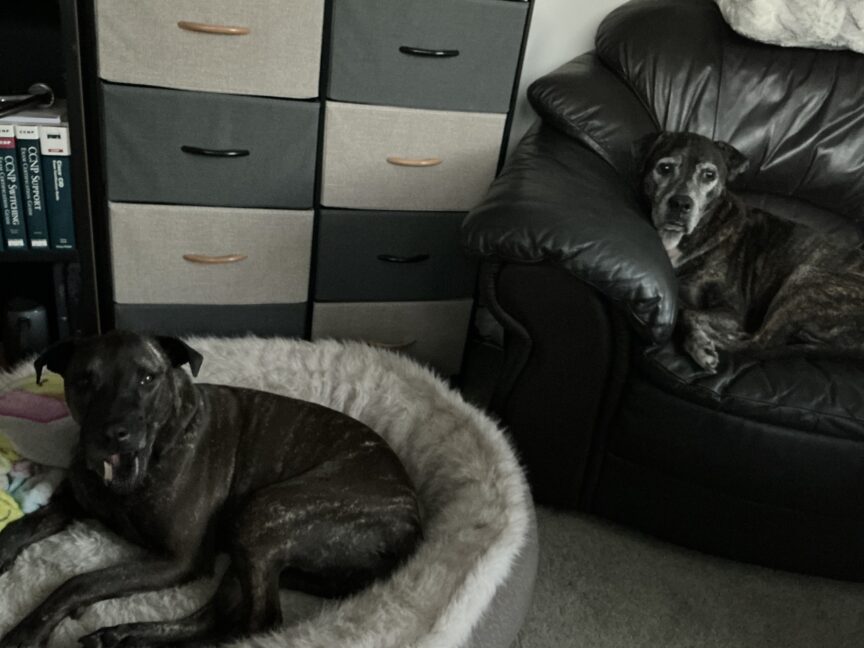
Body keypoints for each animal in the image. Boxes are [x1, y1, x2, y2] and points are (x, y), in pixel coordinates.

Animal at [0, 331, 422, 647]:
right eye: (84, 380)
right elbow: (24, 525)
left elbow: (81, 580)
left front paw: (27, 631)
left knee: (259, 624)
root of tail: (412, 527)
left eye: (147, 378)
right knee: (217, 617)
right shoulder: (76, 501)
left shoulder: (178, 559)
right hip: (249, 547)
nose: (114, 433)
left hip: (263, 513)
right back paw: (125, 636)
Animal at [638, 131, 864, 373]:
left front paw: (699, 345)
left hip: (806, 278)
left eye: (709, 174)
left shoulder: (732, 310)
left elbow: (687, 312)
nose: (681, 203)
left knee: (758, 343)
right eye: (665, 168)